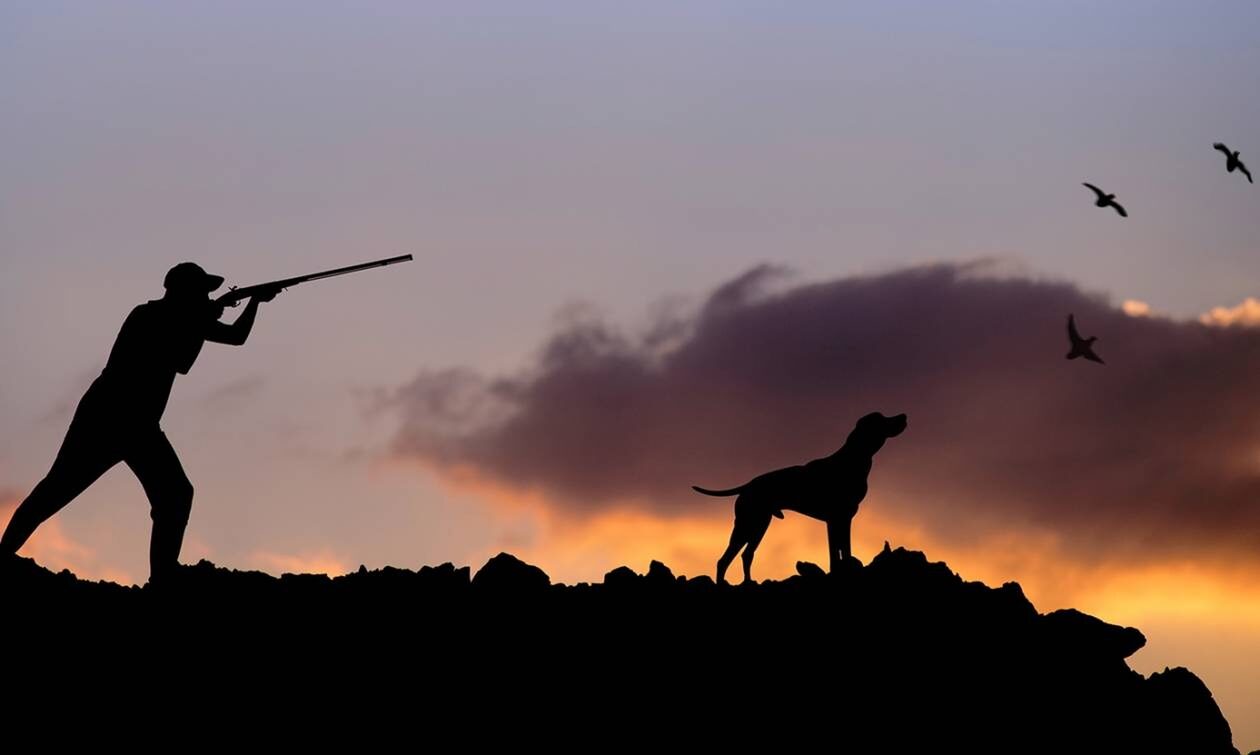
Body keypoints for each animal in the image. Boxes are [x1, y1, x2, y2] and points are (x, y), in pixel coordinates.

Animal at [690, 413, 907, 584]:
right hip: (748, 524)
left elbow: (840, 550)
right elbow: (839, 552)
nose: (903, 416)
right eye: (881, 419)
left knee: (746, 554)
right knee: (725, 559)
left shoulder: (841, 520)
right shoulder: (837, 519)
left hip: (759, 525)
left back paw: (749, 582)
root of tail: (748, 485)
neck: (852, 460)